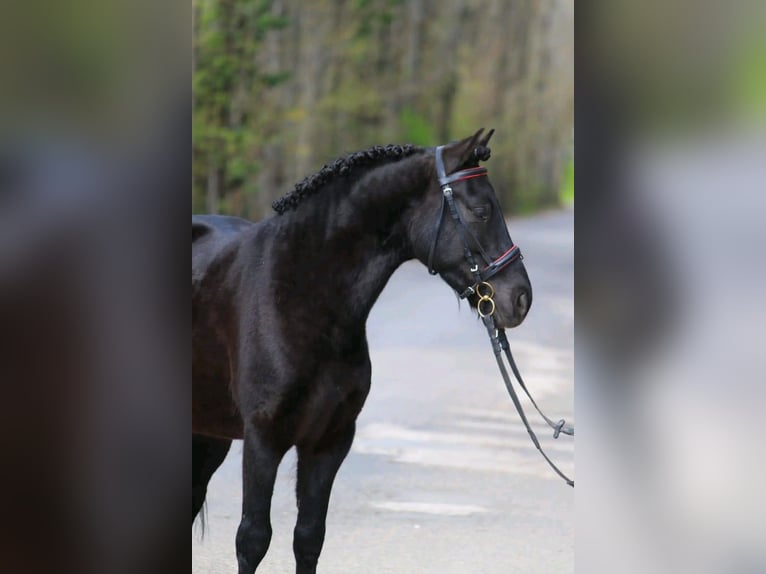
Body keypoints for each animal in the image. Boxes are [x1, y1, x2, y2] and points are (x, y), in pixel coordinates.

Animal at [192, 130, 532, 574]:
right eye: (480, 210)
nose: (521, 298)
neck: (299, 295)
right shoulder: (263, 439)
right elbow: (253, 538)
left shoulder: (330, 440)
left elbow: (308, 538)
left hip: (208, 434)